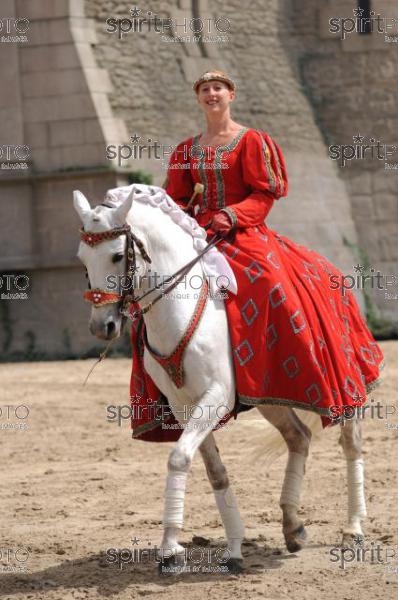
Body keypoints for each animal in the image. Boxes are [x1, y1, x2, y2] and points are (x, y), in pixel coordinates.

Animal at [74, 185, 366, 576]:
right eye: (82, 259)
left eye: (118, 255)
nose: (101, 326)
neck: (179, 308)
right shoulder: (184, 405)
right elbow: (214, 472)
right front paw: (230, 548)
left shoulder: (216, 397)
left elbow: (178, 458)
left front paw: (170, 550)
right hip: (269, 396)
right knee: (299, 437)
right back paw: (292, 525)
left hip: (343, 389)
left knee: (350, 445)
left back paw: (353, 530)